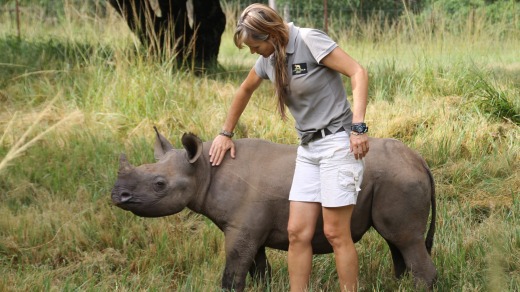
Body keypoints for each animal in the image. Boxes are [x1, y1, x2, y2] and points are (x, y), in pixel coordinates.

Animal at [111, 127, 436, 290]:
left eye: (159, 185)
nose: (116, 195)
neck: (203, 169)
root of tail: (420, 160)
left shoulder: (241, 228)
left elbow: (234, 267)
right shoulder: (249, 226)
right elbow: (257, 265)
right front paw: (262, 286)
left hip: (398, 179)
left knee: (405, 239)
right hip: (393, 179)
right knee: (396, 240)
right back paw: (399, 284)